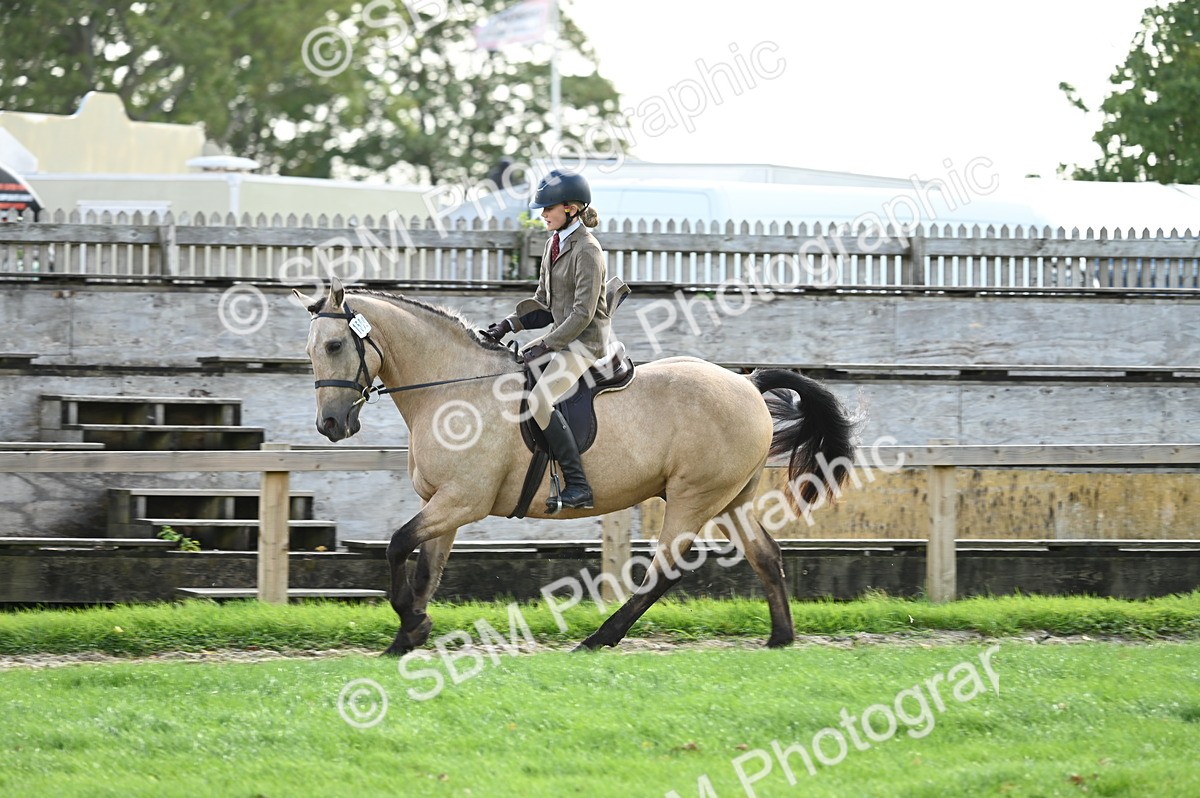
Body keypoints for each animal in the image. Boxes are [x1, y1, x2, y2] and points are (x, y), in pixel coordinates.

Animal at [294, 277, 856, 655]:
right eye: (311, 350)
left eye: (336, 345)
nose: (331, 425)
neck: (453, 387)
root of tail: (747, 382)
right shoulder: (442, 504)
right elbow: (426, 569)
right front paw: (408, 635)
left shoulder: (463, 501)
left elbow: (396, 546)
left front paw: (410, 625)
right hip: (729, 499)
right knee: (765, 554)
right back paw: (781, 638)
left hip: (693, 496)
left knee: (666, 568)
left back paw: (598, 639)